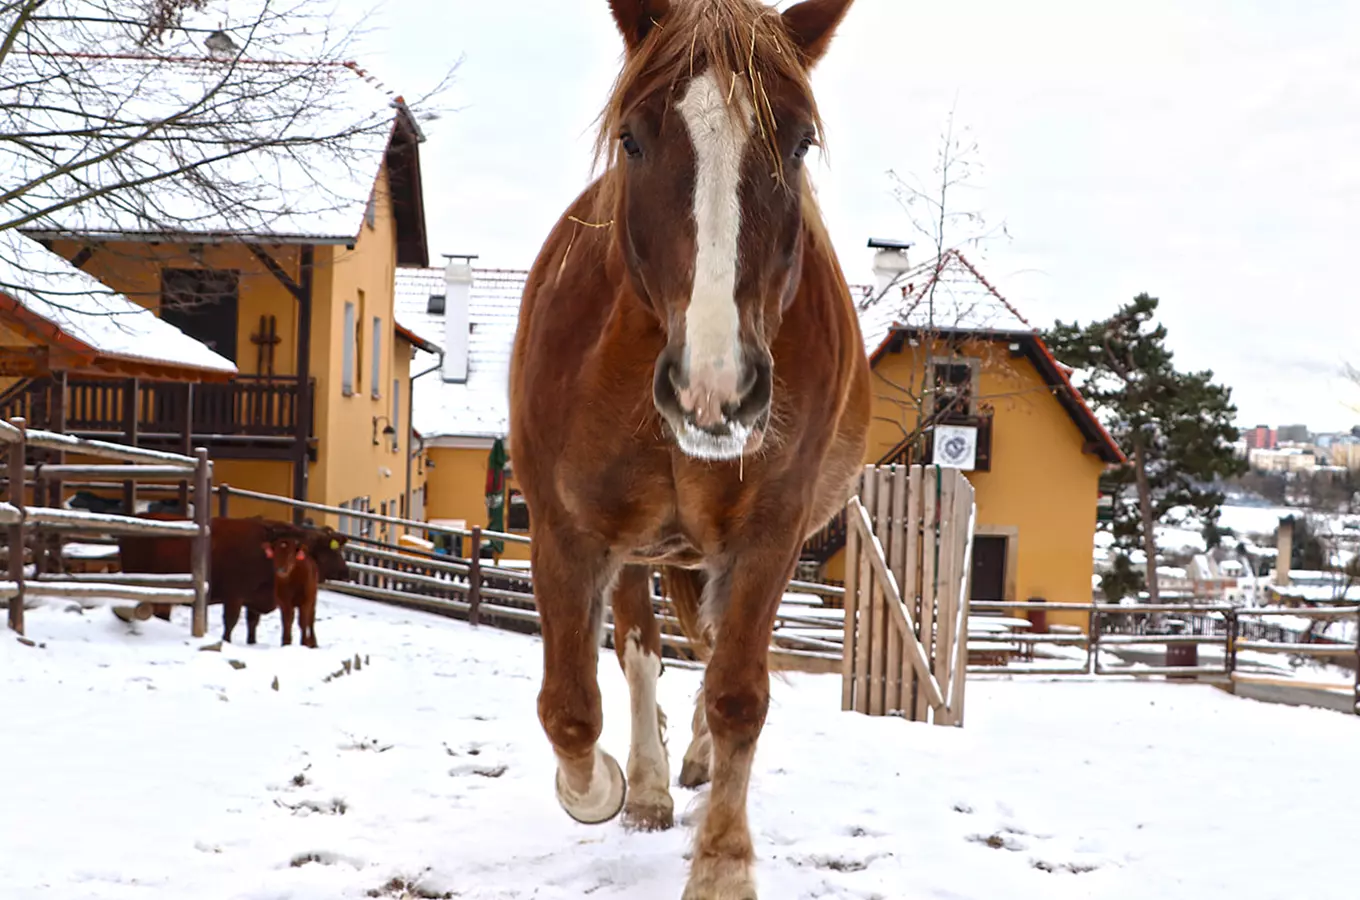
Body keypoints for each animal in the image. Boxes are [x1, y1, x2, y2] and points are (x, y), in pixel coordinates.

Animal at [511, 3, 870, 897]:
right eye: (634, 139)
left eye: (800, 141)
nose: (718, 386)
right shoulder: (566, 532)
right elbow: (571, 707)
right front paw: (608, 786)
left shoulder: (770, 534)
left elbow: (738, 692)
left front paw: (722, 866)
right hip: (639, 550)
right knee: (640, 653)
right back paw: (646, 783)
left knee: (708, 656)